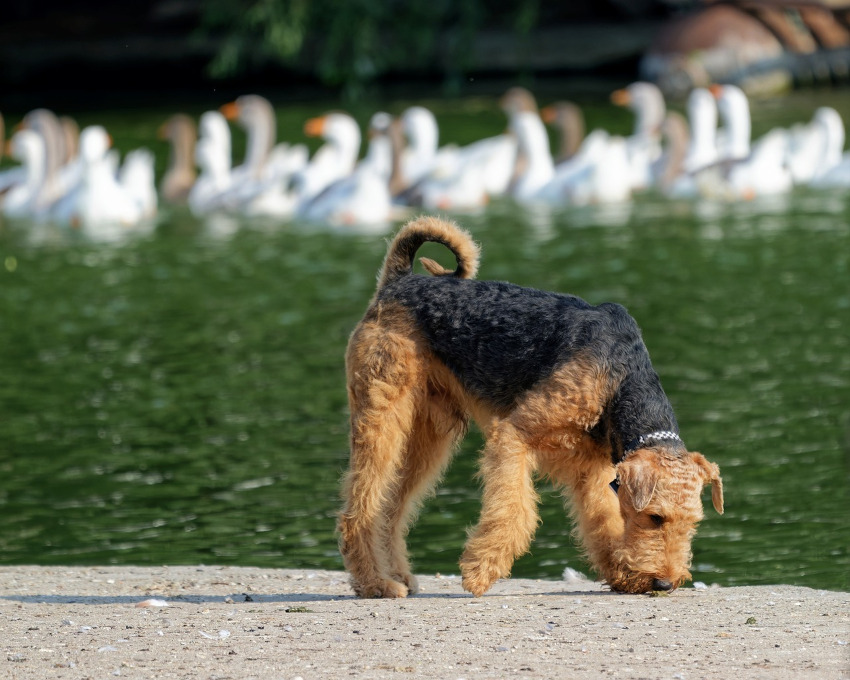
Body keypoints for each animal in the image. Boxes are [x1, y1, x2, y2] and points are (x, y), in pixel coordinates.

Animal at [334, 216, 720, 596]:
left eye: (693, 523)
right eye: (656, 517)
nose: (665, 583)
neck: (620, 375)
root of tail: (398, 281)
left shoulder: (595, 472)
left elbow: (604, 520)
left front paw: (623, 573)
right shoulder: (514, 435)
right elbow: (512, 510)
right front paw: (481, 569)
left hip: (428, 434)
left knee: (389, 508)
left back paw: (398, 576)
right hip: (382, 416)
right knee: (360, 507)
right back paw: (375, 583)